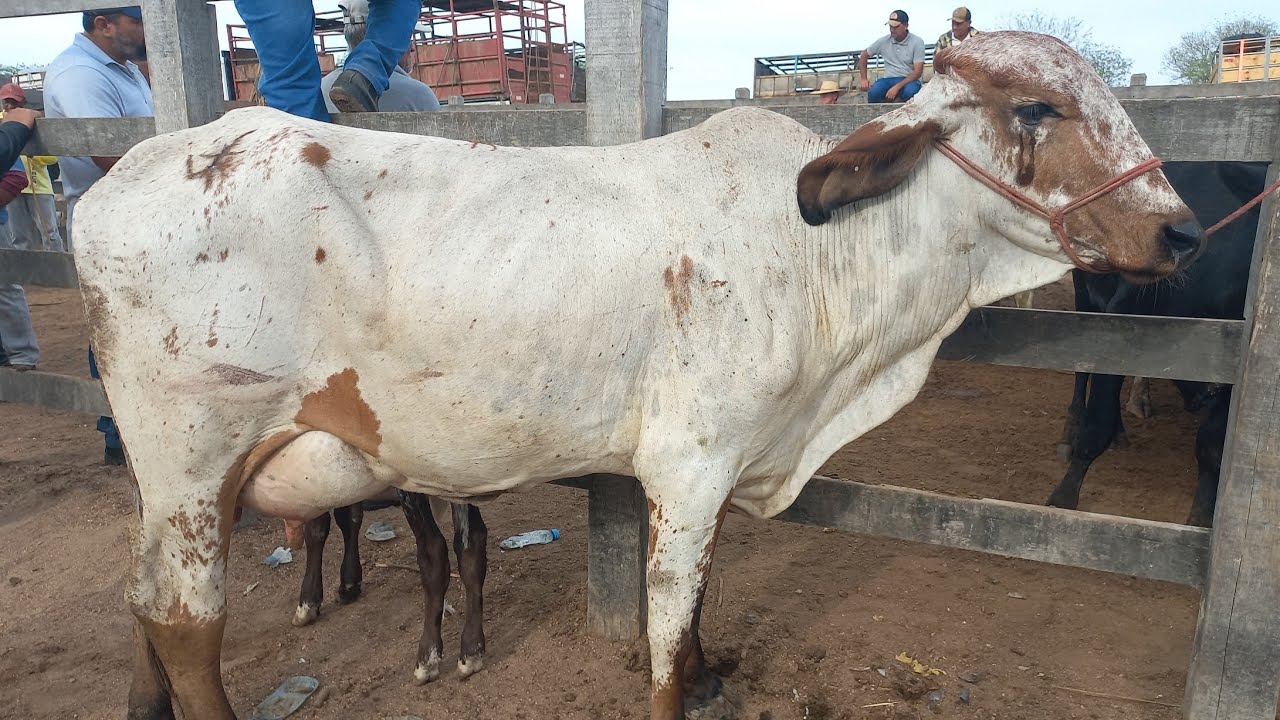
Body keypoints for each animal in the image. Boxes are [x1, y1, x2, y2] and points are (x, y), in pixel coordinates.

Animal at [291, 494, 489, 684]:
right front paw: (350, 582)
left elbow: (317, 523)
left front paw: (308, 602)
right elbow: (349, 514)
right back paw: (471, 649)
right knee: (471, 543)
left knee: (434, 551)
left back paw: (427, 658)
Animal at [1049, 161, 1268, 527]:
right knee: (1082, 371)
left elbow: (1211, 446)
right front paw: (1062, 498)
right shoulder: (1121, 317)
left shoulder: (1230, 370)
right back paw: (1071, 429)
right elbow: (1096, 425)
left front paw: (1199, 517)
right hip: (1084, 294)